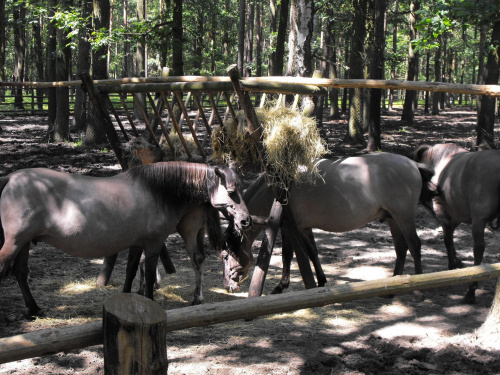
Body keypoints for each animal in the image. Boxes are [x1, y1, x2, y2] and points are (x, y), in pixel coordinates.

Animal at [0, 162, 250, 318]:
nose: (246, 220)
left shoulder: (137, 244)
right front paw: (149, 299)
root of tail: (11, 178)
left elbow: (131, 270)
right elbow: (148, 273)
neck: (157, 192)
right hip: (14, 243)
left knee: (20, 273)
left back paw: (33, 309)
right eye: (231, 191)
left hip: (24, 244)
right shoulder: (153, 243)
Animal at [414, 142, 500, 304]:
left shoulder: (444, 215)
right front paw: (457, 262)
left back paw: (471, 290)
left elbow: (448, 240)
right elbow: (451, 241)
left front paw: (452, 266)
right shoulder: (455, 217)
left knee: (478, 248)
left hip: (478, 222)